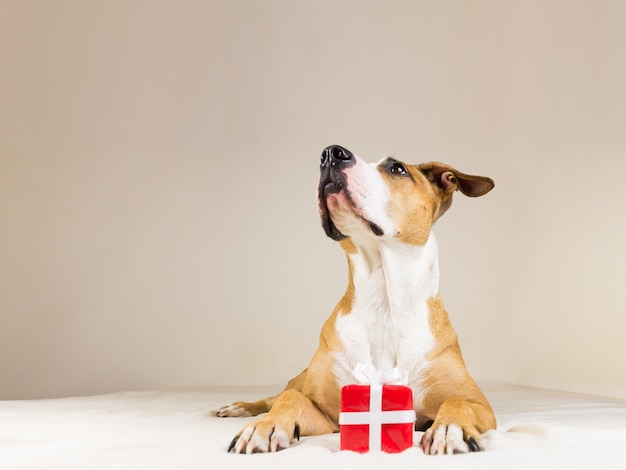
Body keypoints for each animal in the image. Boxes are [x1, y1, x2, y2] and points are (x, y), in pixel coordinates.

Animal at [217, 145, 494, 454]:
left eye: (398, 168)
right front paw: (264, 427)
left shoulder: (481, 405)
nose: (331, 154)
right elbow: (292, 399)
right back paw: (241, 407)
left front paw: (449, 429)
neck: (384, 302)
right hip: (298, 379)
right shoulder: (325, 413)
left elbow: (457, 401)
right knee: (278, 395)